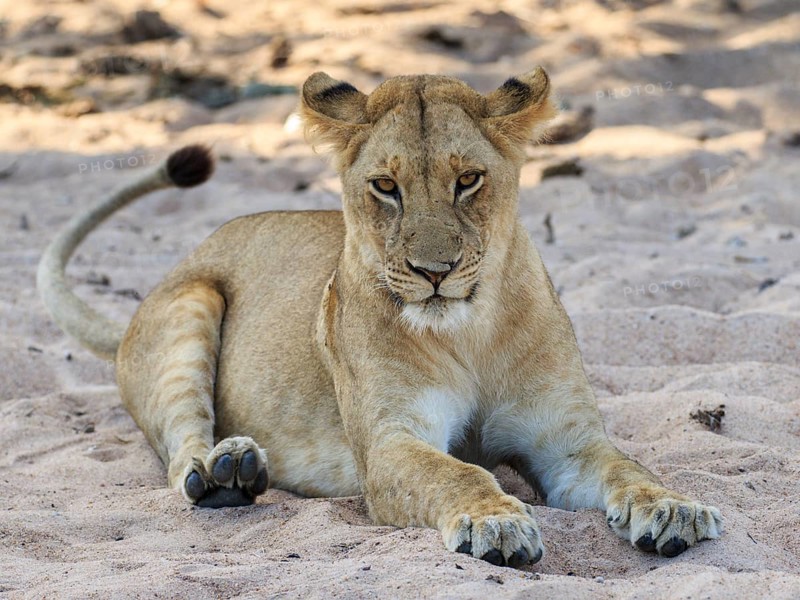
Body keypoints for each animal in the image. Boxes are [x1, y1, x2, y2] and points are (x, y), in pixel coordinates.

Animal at [38, 67, 722, 568]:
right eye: (386, 188)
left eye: (468, 180)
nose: (434, 271)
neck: (469, 332)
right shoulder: (392, 443)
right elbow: (457, 472)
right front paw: (496, 521)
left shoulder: (566, 440)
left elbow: (627, 467)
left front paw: (676, 509)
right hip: (190, 306)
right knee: (180, 452)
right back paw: (225, 473)